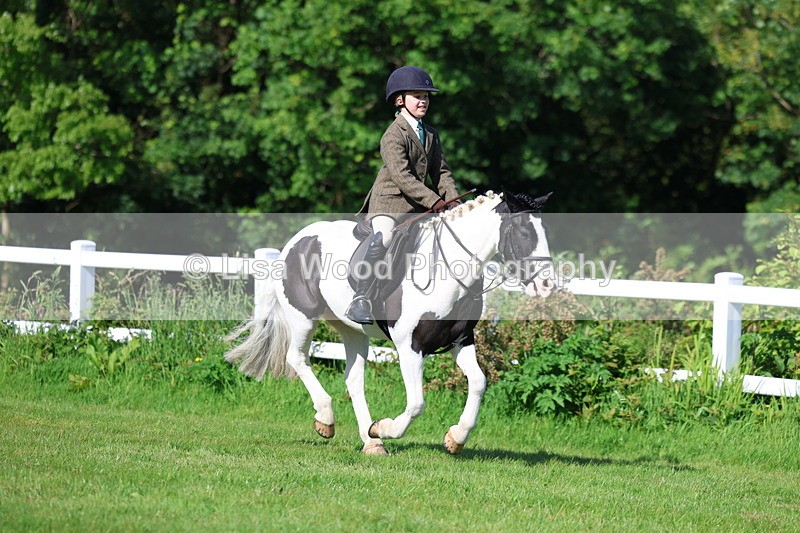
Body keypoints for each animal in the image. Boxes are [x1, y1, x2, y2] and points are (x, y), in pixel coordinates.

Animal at [224, 189, 555, 455]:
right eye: (525, 232)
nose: (547, 285)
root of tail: (296, 241)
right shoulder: (410, 347)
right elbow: (417, 403)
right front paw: (384, 428)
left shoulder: (460, 341)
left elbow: (478, 383)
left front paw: (455, 439)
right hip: (303, 318)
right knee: (297, 359)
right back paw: (327, 420)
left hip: (352, 330)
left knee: (353, 379)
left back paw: (371, 442)